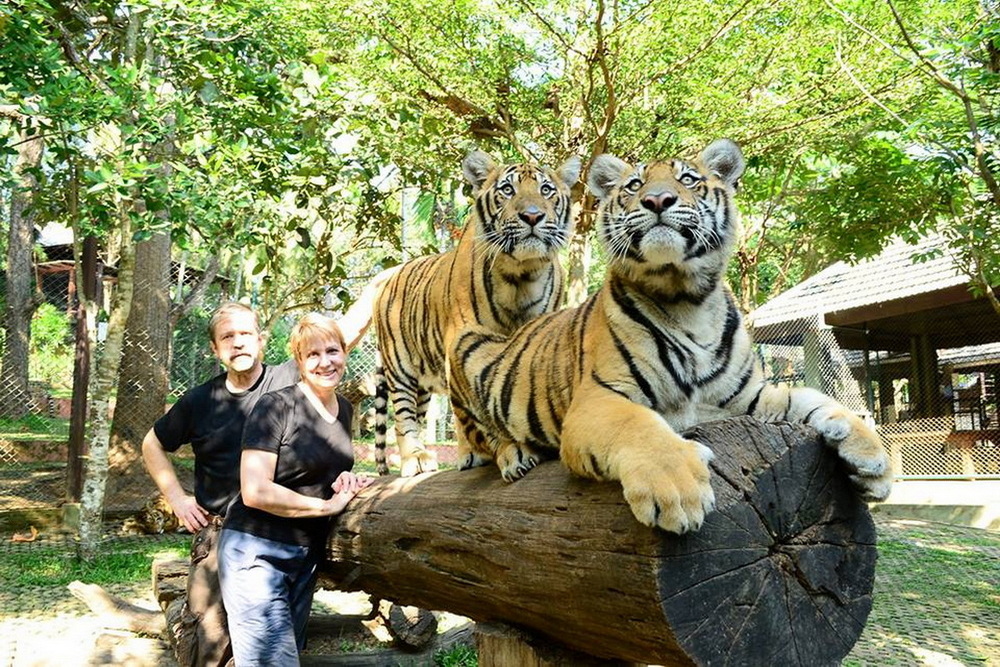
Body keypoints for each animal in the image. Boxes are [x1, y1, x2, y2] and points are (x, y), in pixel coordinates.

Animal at [372, 149, 584, 478]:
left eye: (546, 189)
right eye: (507, 190)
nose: (532, 216)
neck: (521, 275)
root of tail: (388, 276)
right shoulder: (461, 343)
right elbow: (478, 412)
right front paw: (505, 452)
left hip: (423, 383)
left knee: (419, 415)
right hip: (400, 369)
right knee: (403, 418)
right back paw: (416, 459)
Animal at [450, 138, 896, 536]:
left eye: (688, 179)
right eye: (635, 185)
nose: (658, 200)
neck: (688, 299)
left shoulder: (749, 398)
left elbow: (811, 398)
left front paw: (872, 458)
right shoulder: (599, 399)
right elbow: (639, 425)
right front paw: (677, 488)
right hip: (471, 350)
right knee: (484, 437)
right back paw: (516, 455)